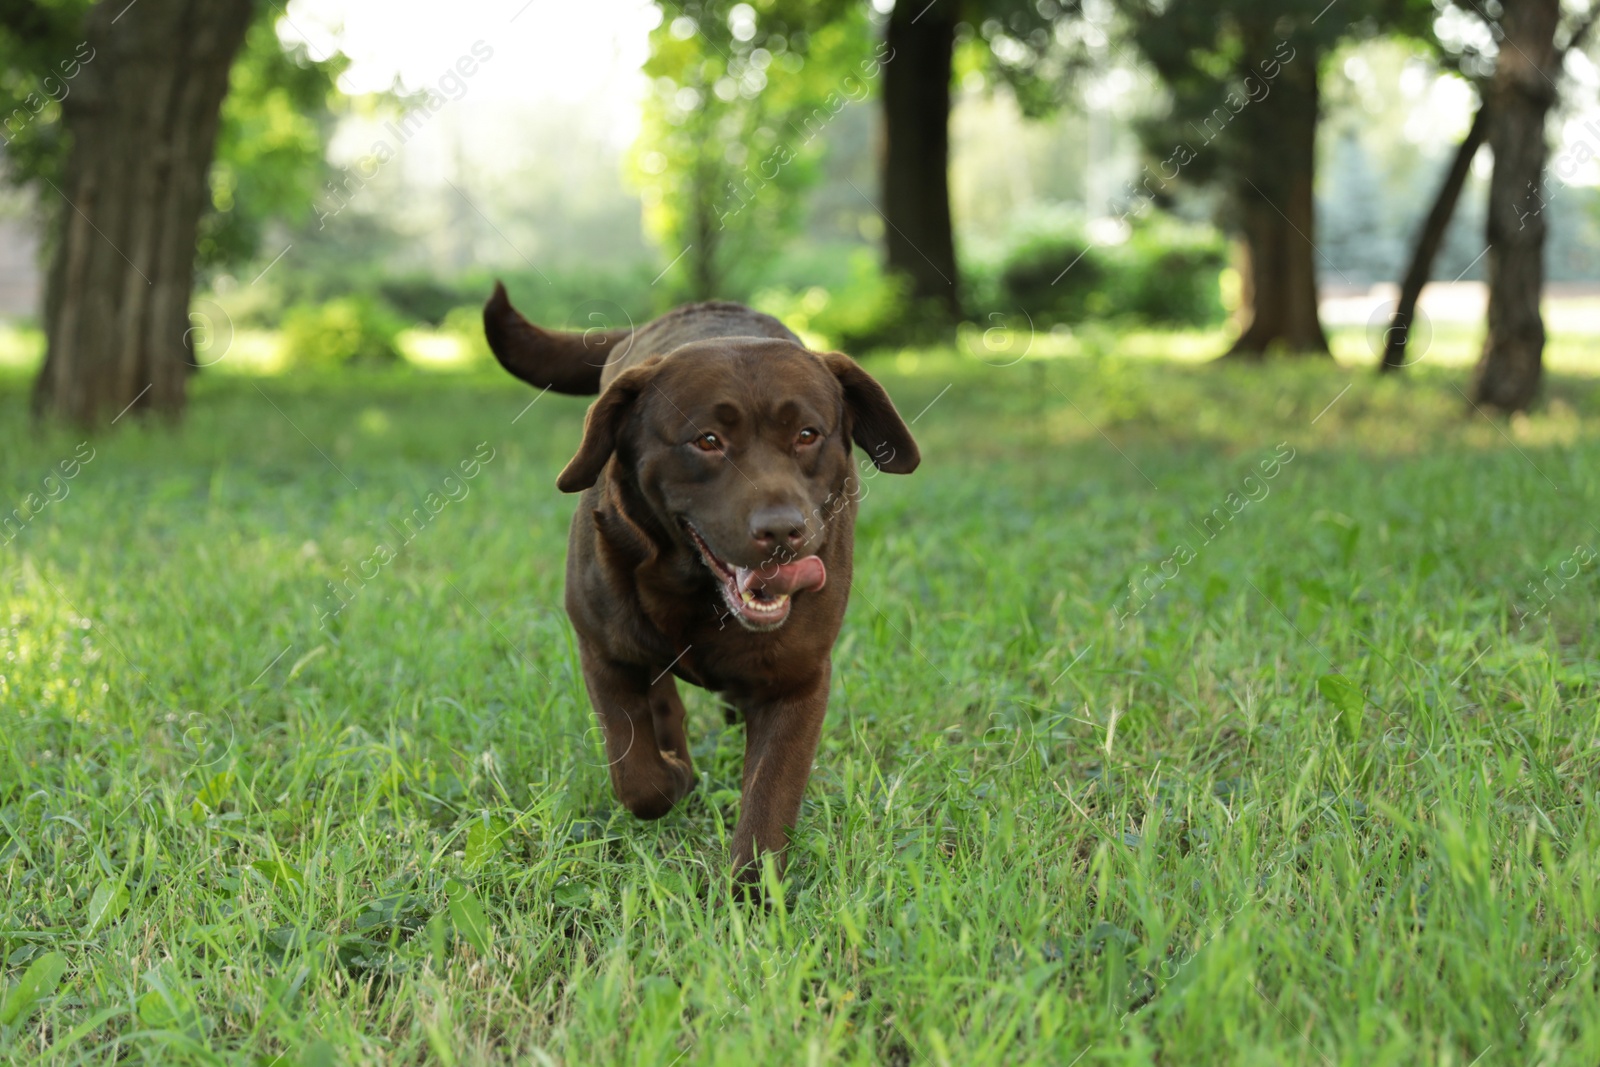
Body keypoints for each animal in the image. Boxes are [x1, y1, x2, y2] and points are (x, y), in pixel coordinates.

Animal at [480, 283, 921, 883]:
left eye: (807, 435)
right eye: (707, 441)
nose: (783, 530)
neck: (696, 590)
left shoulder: (799, 680)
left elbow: (770, 798)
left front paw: (753, 893)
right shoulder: (602, 651)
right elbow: (636, 771)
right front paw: (673, 776)